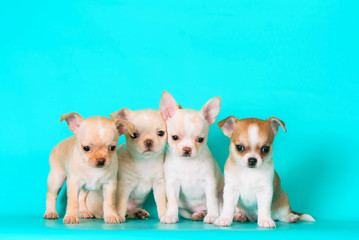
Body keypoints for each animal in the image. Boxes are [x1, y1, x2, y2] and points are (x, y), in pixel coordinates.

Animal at [161, 91, 225, 224]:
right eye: (175, 137)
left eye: (200, 139)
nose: (187, 149)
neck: (187, 163)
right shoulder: (172, 184)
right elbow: (172, 202)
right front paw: (170, 216)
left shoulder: (209, 183)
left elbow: (211, 201)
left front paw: (212, 215)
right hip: (184, 210)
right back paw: (199, 214)